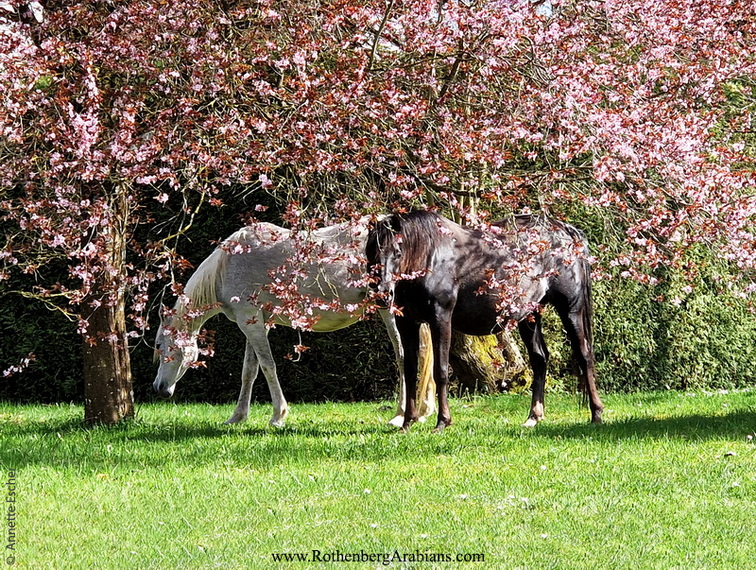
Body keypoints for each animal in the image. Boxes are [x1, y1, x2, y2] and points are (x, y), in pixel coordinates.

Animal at [153, 217, 434, 427]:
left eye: (160, 346)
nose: (159, 388)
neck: (227, 265)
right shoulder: (256, 322)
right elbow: (249, 371)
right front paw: (237, 417)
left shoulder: (250, 322)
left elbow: (268, 367)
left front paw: (278, 415)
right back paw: (421, 411)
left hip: (390, 310)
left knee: (404, 356)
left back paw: (400, 415)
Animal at [366, 210, 603, 432]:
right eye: (371, 252)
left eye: (398, 252)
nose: (383, 294)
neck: (429, 256)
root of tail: (566, 231)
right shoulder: (407, 323)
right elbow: (409, 371)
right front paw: (407, 423)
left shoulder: (440, 317)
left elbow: (440, 370)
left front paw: (443, 422)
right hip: (529, 314)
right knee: (540, 358)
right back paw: (533, 417)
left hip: (570, 310)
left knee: (584, 355)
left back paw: (596, 414)